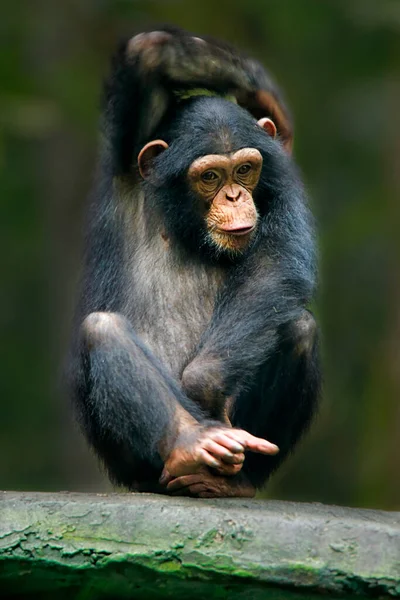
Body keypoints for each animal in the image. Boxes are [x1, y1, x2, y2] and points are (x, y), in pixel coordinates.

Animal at [68, 27, 318, 496]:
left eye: (245, 170)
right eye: (210, 177)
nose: (235, 197)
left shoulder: (280, 181)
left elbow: (276, 259)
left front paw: (205, 386)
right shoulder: (127, 164)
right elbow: (145, 54)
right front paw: (263, 91)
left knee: (299, 328)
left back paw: (232, 479)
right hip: (128, 462)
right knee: (102, 329)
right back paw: (193, 445)